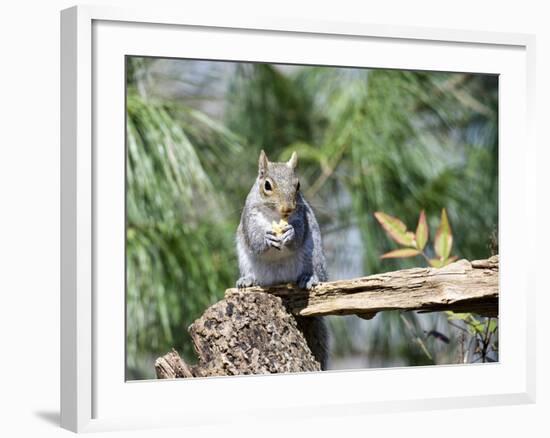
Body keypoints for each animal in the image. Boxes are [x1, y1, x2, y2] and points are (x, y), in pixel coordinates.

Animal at [236, 151, 328, 370]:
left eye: (298, 185)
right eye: (267, 185)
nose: (287, 209)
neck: (274, 217)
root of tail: (280, 279)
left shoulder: (302, 217)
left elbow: (298, 233)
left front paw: (290, 234)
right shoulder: (249, 217)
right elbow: (254, 239)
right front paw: (266, 239)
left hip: (314, 255)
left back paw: (309, 278)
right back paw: (248, 280)